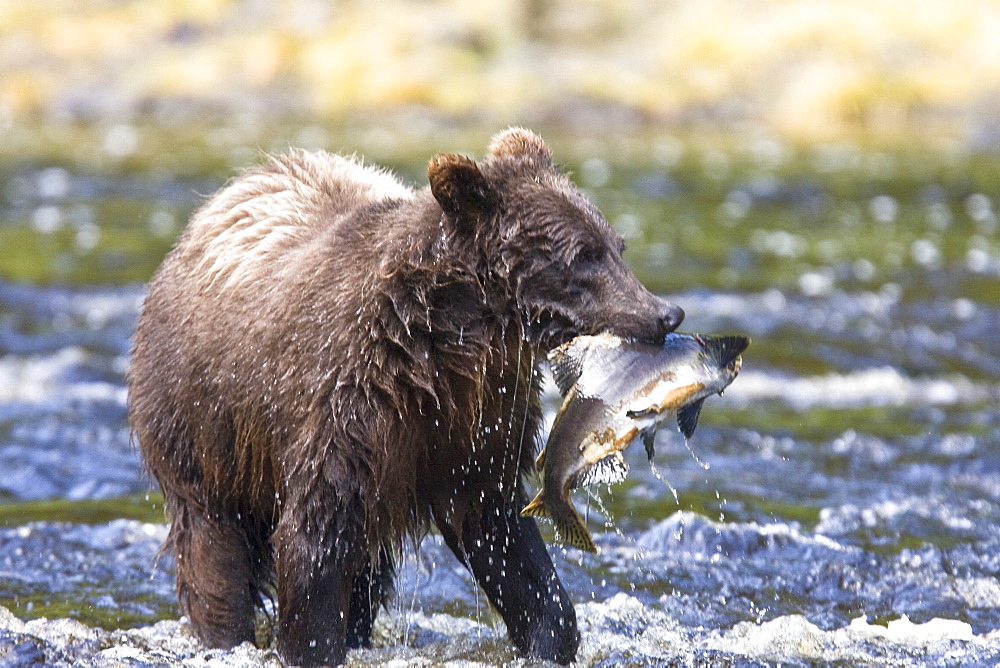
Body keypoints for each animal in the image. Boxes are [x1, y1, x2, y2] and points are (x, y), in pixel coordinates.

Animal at [129, 128, 684, 664]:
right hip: (200, 427)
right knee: (214, 549)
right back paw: (223, 631)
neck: (446, 346)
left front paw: (550, 634)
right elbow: (315, 541)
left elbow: (501, 534)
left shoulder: (475, 422)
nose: (665, 313)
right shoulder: (349, 404)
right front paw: (309, 642)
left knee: (365, 574)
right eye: (582, 255)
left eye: (616, 244)